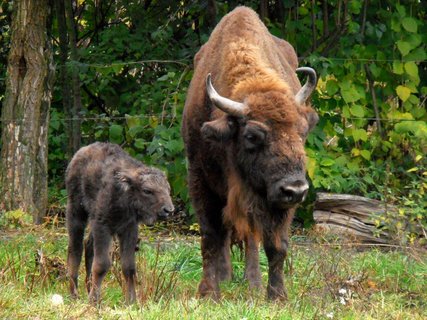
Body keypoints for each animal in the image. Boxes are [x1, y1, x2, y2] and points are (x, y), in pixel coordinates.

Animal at [65, 142, 176, 302]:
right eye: (147, 190)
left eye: (168, 189)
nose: (168, 210)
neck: (125, 194)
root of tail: (81, 152)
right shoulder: (103, 226)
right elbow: (102, 264)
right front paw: (94, 301)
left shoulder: (129, 229)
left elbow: (128, 267)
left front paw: (131, 301)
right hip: (76, 211)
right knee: (75, 248)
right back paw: (74, 294)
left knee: (88, 245)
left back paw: (88, 288)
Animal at [181, 5, 318, 300]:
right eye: (252, 136)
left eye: (302, 132)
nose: (295, 190)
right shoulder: (199, 179)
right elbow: (210, 237)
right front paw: (209, 292)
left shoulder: (275, 200)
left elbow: (276, 244)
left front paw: (277, 296)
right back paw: (226, 276)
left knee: (251, 236)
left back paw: (252, 281)